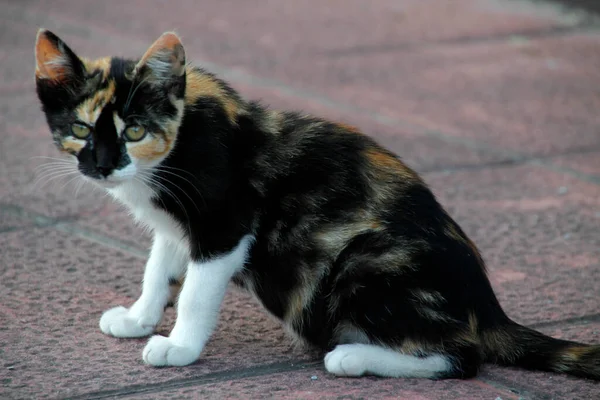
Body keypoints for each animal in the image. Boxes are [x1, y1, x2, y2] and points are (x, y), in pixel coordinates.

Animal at [34, 29, 600, 380]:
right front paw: (139, 317)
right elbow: (159, 268)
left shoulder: (225, 223)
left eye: (134, 130)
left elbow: (195, 291)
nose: (104, 166)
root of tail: (486, 306)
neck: (182, 135)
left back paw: (351, 356)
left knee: (462, 357)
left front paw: (180, 346)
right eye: (81, 129)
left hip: (365, 262)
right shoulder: (177, 227)